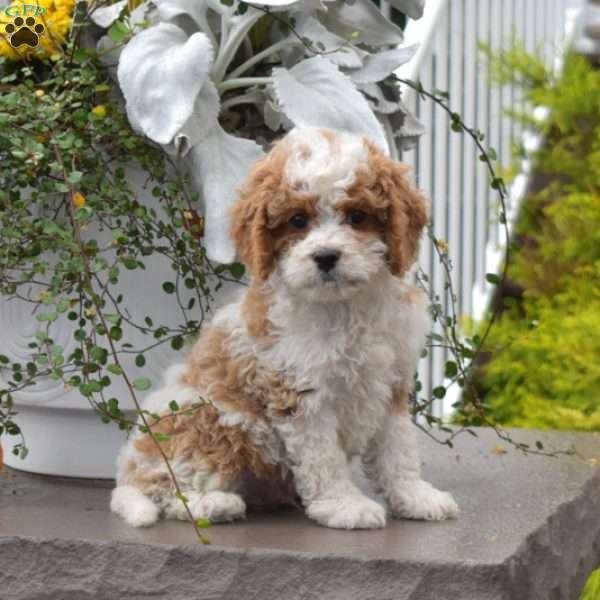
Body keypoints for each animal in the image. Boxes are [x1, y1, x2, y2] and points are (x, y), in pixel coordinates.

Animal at [111, 127, 460, 528]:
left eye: (357, 216)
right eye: (297, 221)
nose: (326, 257)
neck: (343, 307)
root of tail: (128, 471)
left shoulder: (391, 383)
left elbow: (398, 450)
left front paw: (416, 497)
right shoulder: (301, 395)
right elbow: (324, 459)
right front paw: (345, 505)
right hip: (206, 418)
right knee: (170, 490)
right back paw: (216, 504)